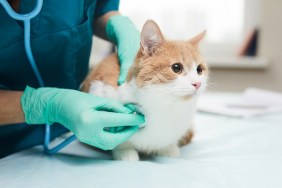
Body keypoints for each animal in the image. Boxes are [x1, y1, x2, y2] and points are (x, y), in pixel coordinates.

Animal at [80, 19, 208, 161]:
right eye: (176, 67)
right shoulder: (101, 90)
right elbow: (119, 140)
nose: (197, 83)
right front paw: (125, 152)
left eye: (199, 69)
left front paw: (168, 149)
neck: (164, 106)